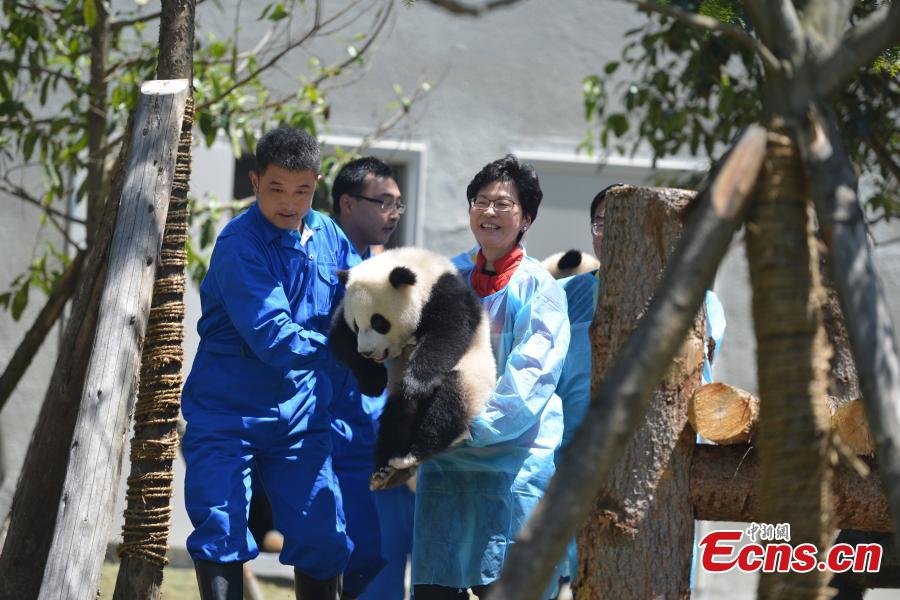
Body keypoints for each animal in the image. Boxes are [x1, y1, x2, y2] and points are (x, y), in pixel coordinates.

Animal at [328, 247, 496, 490]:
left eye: (379, 322)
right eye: (357, 325)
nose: (367, 352)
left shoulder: (447, 296)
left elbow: (446, 337)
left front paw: (416, 385)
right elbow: (339, 336)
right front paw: (373, 383)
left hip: (473, 379)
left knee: (448, 406)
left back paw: (413, 452)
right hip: (401, 404)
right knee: (394, 420)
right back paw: (384, 468)